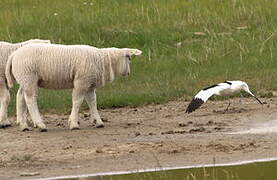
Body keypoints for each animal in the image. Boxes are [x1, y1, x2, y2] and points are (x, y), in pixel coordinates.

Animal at [5, 43, 141, 131]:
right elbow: (77, 101)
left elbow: (92, 102)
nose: (128, 73)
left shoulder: (89, 84)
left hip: (24, 79)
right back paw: (40, 124)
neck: (103, 61)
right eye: (129, 58)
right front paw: (74, 123)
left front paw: (99, 122)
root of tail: (14, 55)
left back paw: (23, 126)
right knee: (30, 99)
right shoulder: (81, 82)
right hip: (29, 77)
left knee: (20, 97)